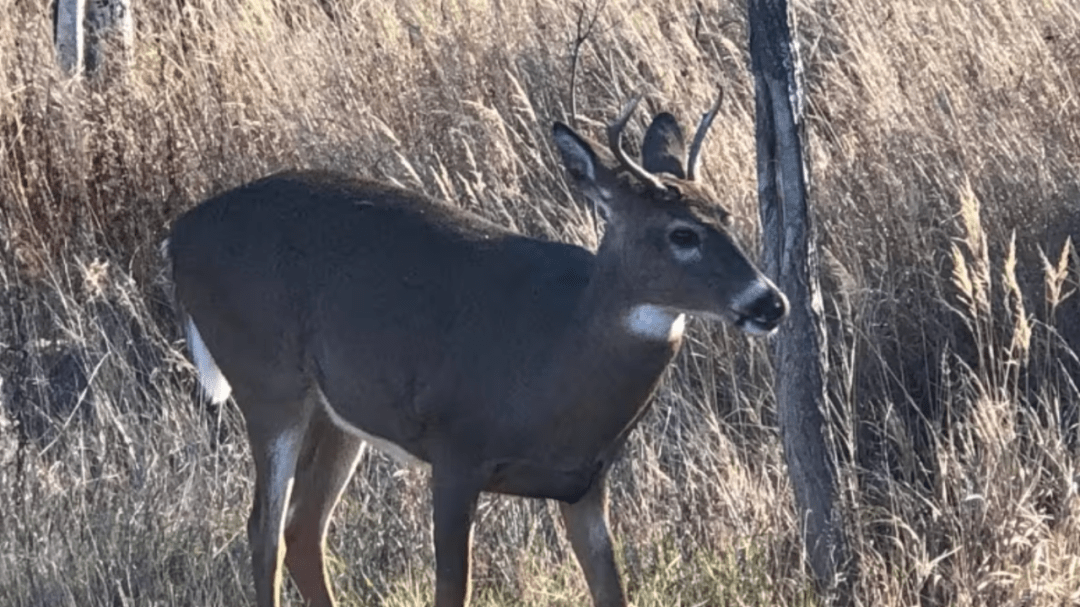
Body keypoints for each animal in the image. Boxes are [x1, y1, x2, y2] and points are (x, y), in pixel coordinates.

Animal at [168, 93, 790, 604]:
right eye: (682, 234)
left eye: (727, 215)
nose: (771, 303)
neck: (554, 362)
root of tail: (177, 234)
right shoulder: (455, 452)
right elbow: (452, 590)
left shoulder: (587, 483)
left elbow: (613, 591)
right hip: (266, 379)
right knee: (264, 530)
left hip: (336, 411)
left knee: (303, 529)